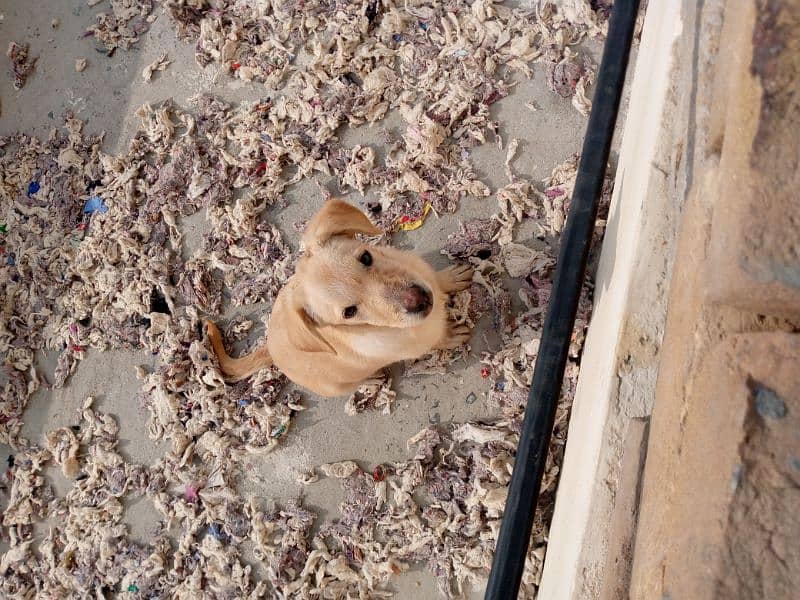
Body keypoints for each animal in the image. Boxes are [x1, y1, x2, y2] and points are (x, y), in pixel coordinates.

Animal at [203, 199, 476, 398]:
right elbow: (437, 339)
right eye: (349, 312)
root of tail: (270, 348)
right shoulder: (417, 344)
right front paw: (451, 335)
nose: (420, 299)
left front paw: (450, 277)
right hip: (338, 386)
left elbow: (435, 279)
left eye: (366, 257)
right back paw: (371, 379)